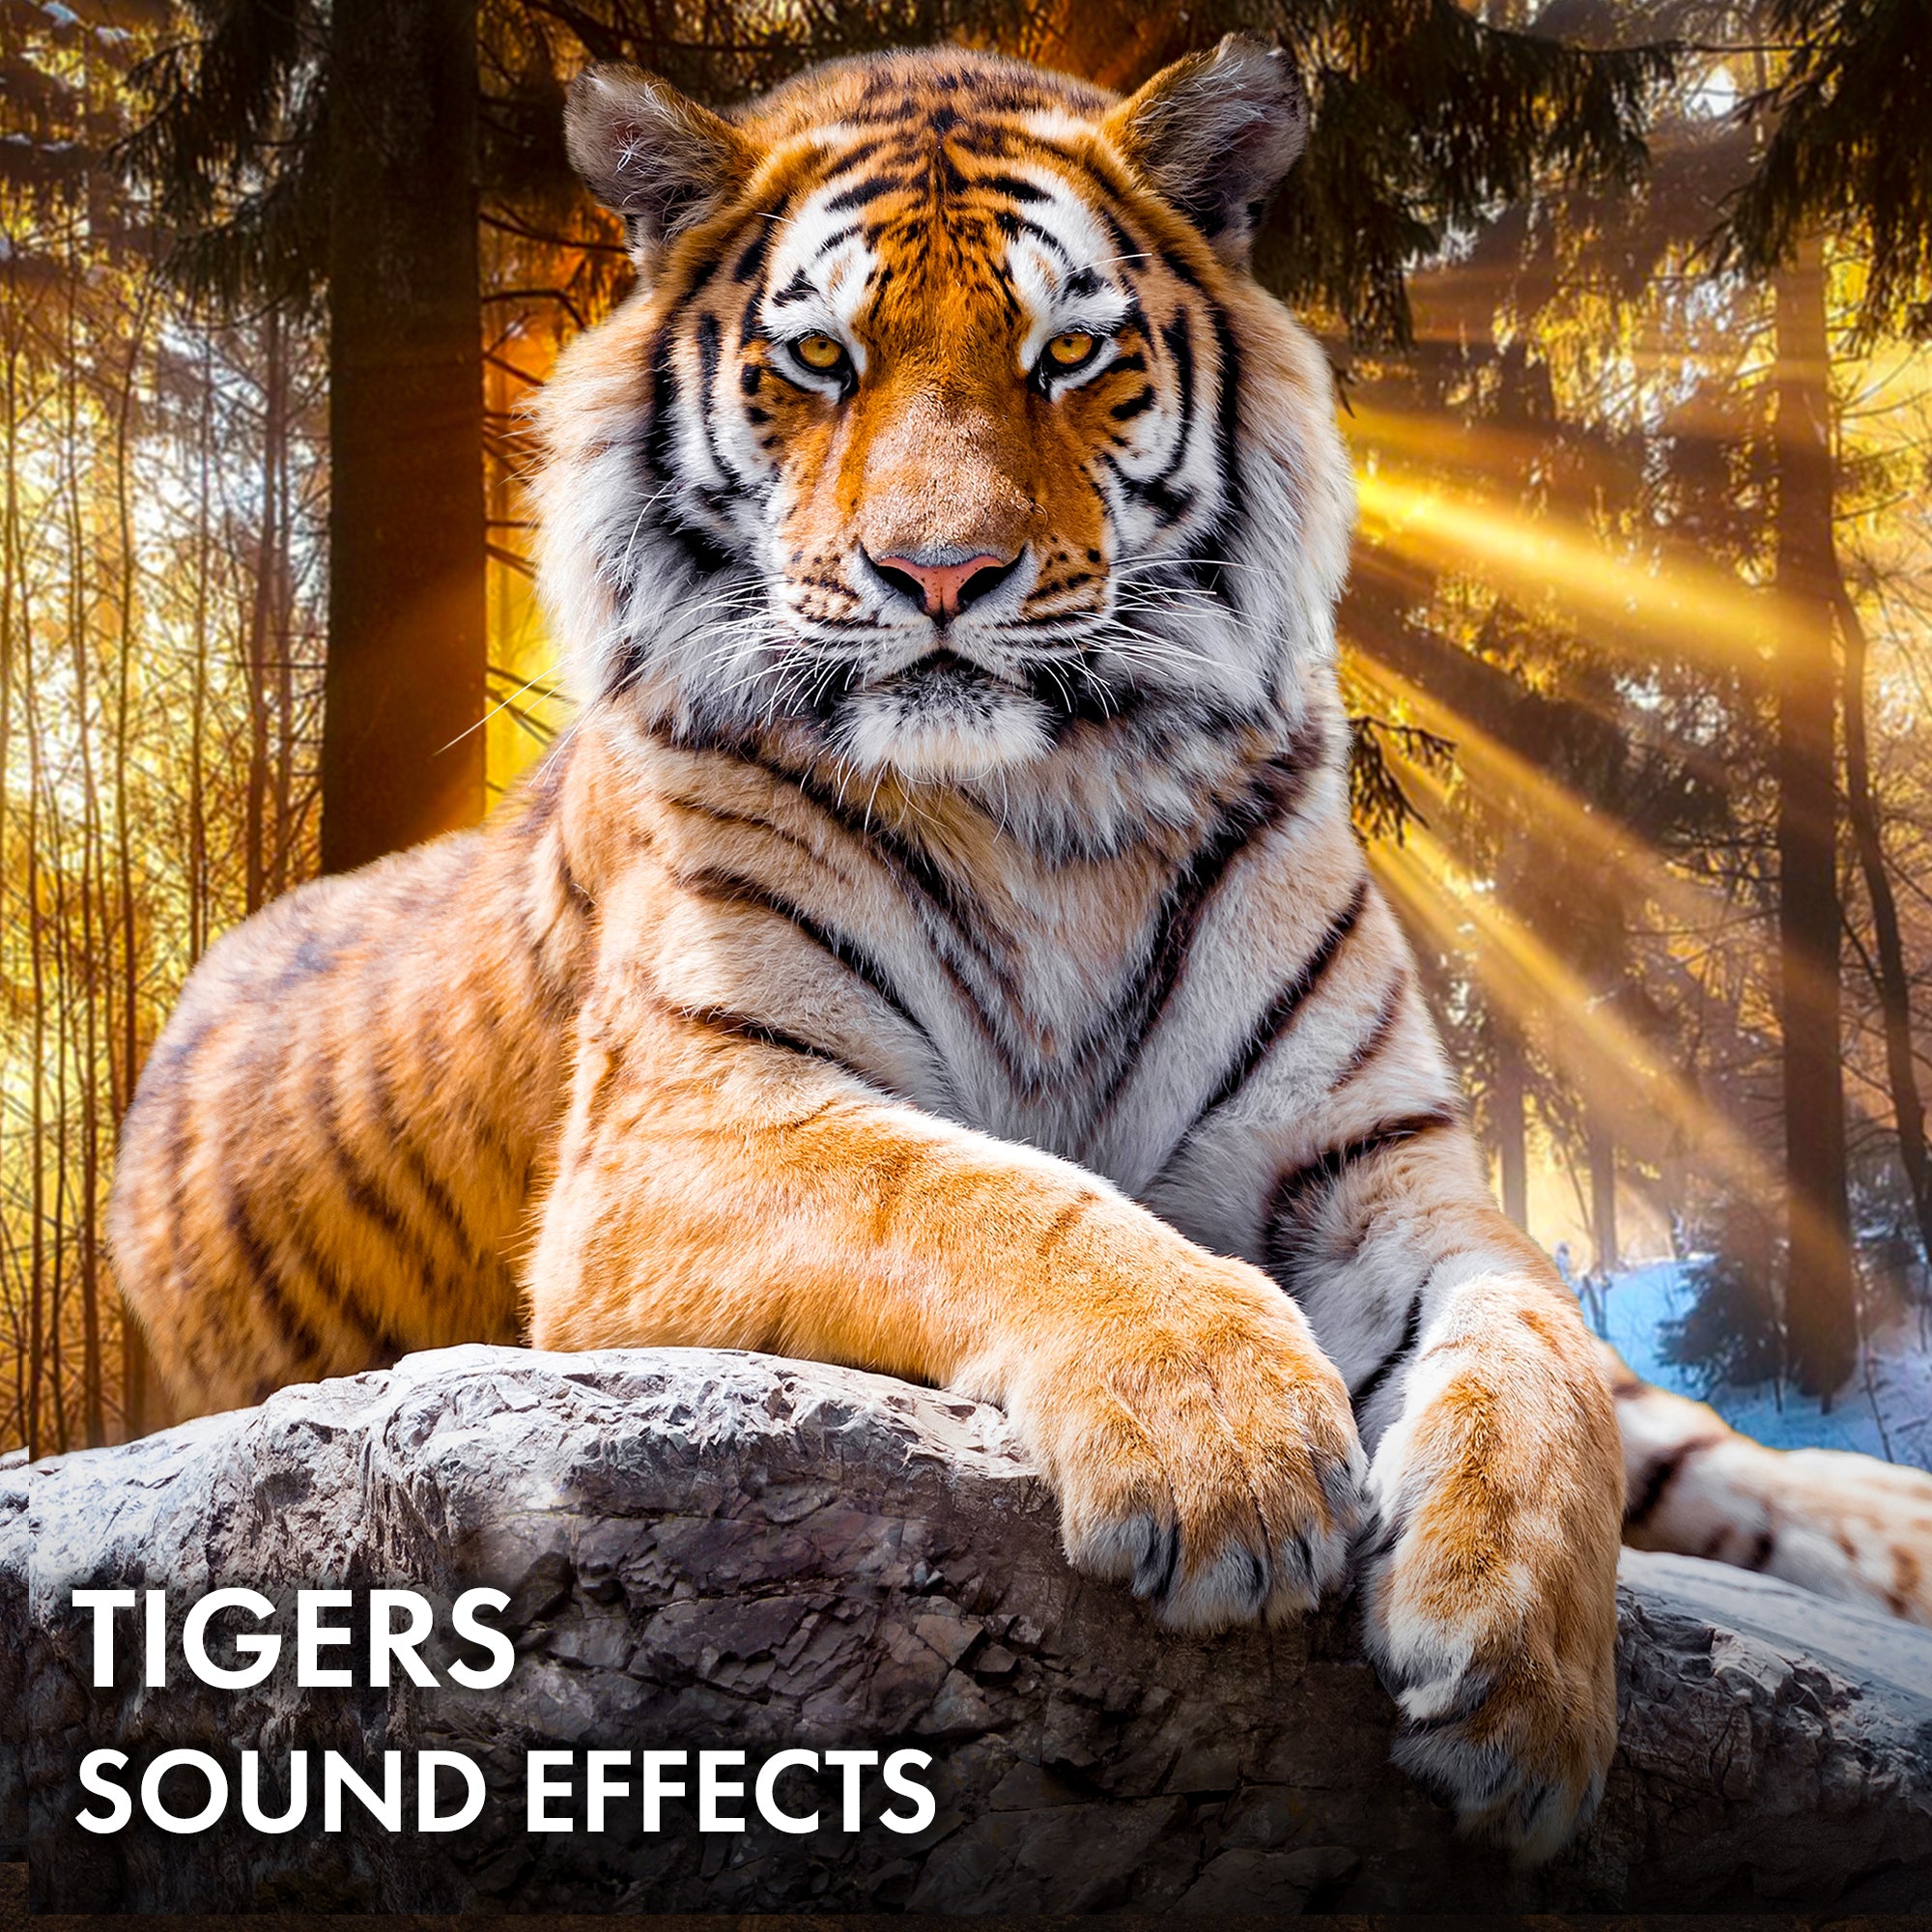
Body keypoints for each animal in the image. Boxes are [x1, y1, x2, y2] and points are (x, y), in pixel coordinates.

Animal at [108, 35, 1932, 1862]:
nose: (940, 573)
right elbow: (982, 1193)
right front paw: (1225, 1441)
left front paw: (1526, 1675)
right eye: (819, 359)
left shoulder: (1376, 1168)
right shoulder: (684, 1126)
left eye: (1069, 354)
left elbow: (1536, 1345)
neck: (1054, 807)